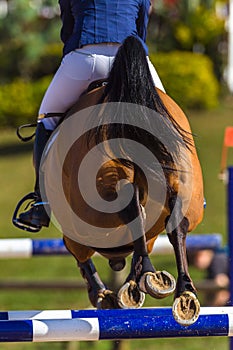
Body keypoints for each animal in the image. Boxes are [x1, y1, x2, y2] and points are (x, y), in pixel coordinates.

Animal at [40, 35, 204, 326]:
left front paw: (104, 294)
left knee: (130, 207)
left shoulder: (78, 230)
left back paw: (145, 278)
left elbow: (80, 254)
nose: (116, 263)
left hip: (97, 194)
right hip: (184, 183)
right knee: (177, 224)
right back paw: (183, 292)